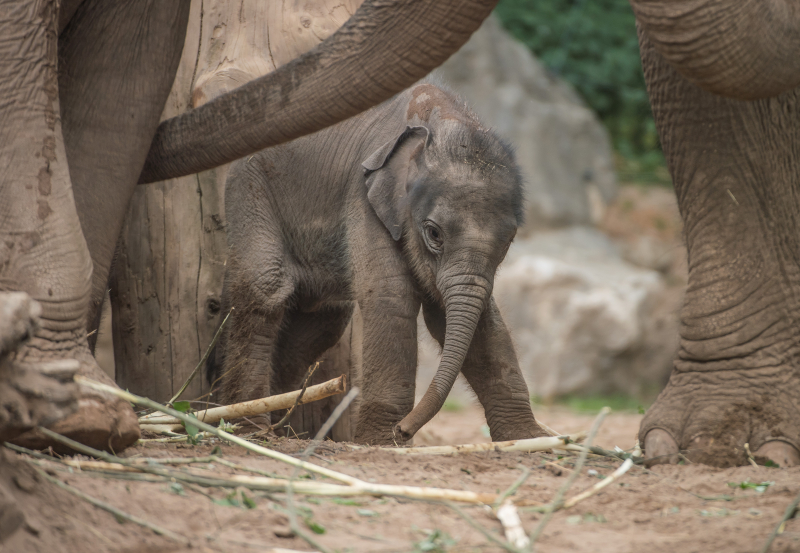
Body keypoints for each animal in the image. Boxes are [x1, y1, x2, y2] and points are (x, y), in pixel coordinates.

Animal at [209, 82, 547, 444]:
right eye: (434, 233)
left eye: (509, 240)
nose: (405, 428)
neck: (442, 122)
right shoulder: (364, 198)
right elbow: (392, 296)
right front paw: (384, 440)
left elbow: (467, 314)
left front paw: (530, 439)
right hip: (250, 189)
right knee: (265, 287)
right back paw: (249, 429)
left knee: (320, 323)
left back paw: (278, 429)